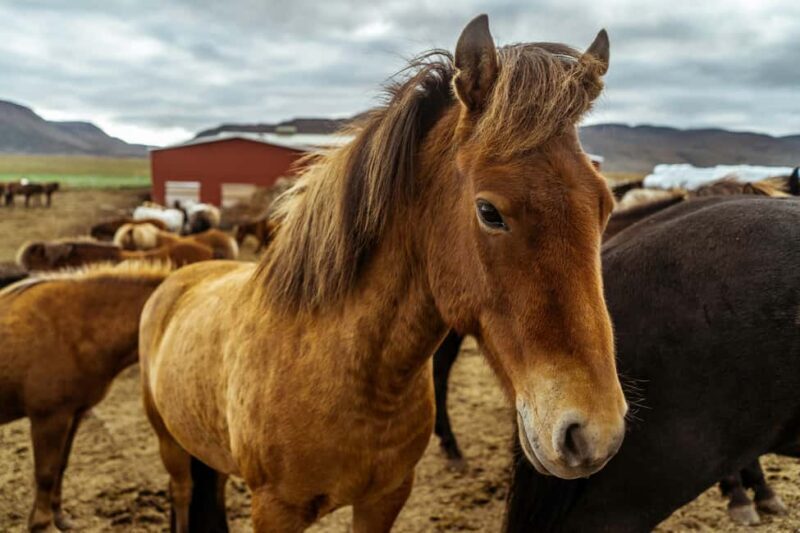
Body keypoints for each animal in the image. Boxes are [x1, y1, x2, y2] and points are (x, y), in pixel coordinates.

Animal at [0, 261, 173, 532]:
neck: (78, 328)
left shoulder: (74, 414)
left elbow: (60, 465)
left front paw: (59, 517)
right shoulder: (48, 418)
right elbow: (45, 472)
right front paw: (42, 524)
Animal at [139, 15, 626, 532]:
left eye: (604, 205)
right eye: (489, 212)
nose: (593, 434)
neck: (352, 375)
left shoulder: (385, 498)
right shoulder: (276, 511)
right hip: (169, 445)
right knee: (183, 493)